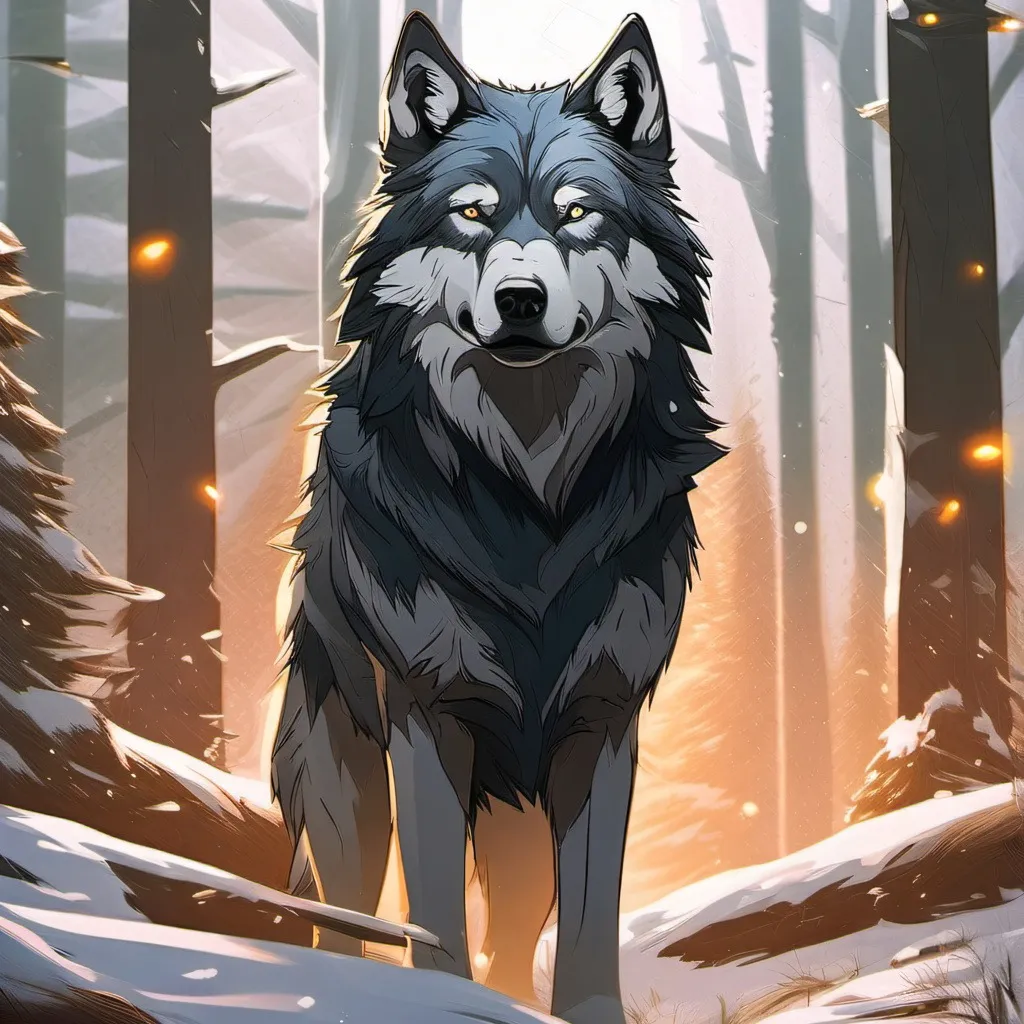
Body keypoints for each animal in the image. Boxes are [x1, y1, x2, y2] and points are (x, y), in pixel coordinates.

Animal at [271, 11, 722, 1024]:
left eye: (578, 214)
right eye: (473, 215)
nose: (521, 298)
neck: (527, 495)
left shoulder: (604, 720)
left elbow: (591, 914)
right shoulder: (424, 711)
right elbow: (434, 906)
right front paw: (437, 1001)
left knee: (516, 924)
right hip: (345, 778)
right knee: (339, 910)